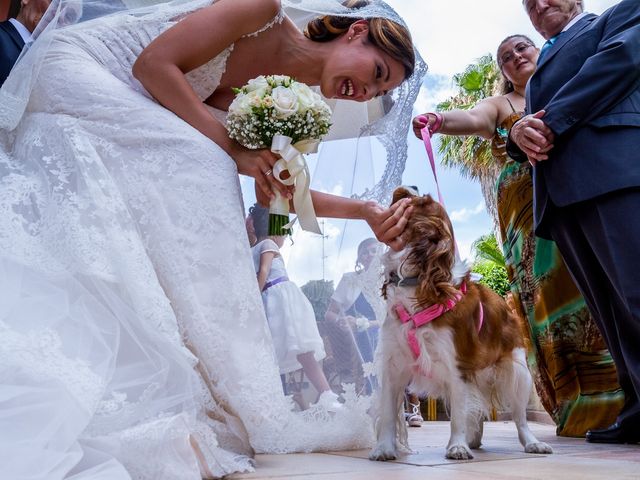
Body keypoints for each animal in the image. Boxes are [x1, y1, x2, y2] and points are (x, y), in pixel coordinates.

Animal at [368, 188, 552, 462]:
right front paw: (383, 448)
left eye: (423, 200)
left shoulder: (458, 366)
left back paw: (532, 443)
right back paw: (475, 440)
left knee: (520, 418)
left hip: (517, 372)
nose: (408, 186)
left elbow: (457, 415)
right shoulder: (394, 365)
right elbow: (390, 414)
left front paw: (457, 446)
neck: (420, 281)